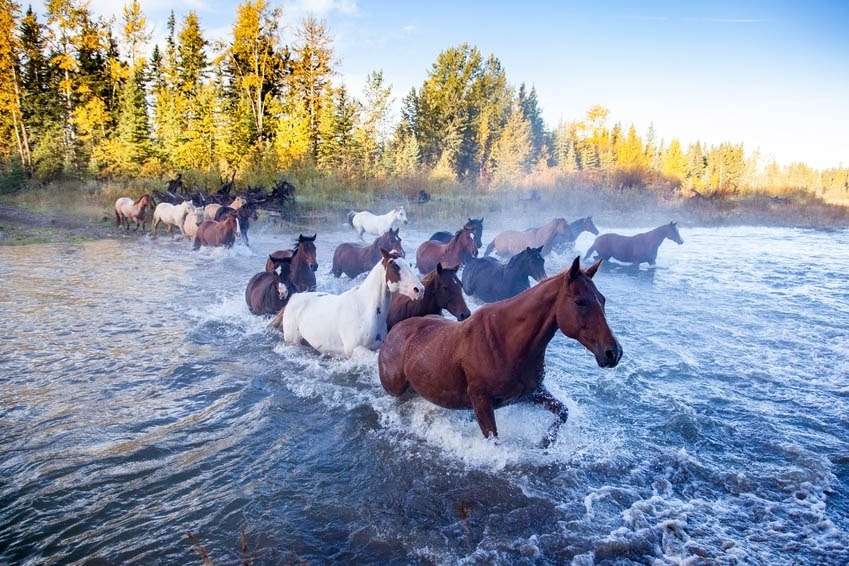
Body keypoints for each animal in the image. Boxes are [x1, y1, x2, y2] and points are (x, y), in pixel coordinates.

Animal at [280, 250, 422, 360]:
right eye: (395, 266)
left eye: (409, 265)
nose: (419, 290)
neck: (365, 310)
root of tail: (294, 297)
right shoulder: (355, 350)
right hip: (293, 341)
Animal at [380, 258, 620, 448]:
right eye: (579, 302)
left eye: (602, 299)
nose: (613, 352)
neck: (506, 341)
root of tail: (394, 331)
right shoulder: (482, 402)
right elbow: (494, 441)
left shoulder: (529, 394)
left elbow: (563, 412)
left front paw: (544, 443)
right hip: (395, 388)